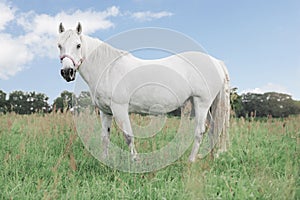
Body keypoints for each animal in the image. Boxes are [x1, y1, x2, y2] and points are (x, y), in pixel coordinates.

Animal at [57, 22, 231, 162]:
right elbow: (105, 137)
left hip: (202, 103)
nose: (67, 72)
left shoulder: (119, 108)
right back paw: (209, 156)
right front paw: (104, 161)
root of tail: (217, 62)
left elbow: (128, 136)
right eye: (59, 45)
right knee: (213, 128)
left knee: (200, 131)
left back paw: (191, 160)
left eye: (78, 45)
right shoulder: (105, 112)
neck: (108, 68)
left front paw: (135, 161)